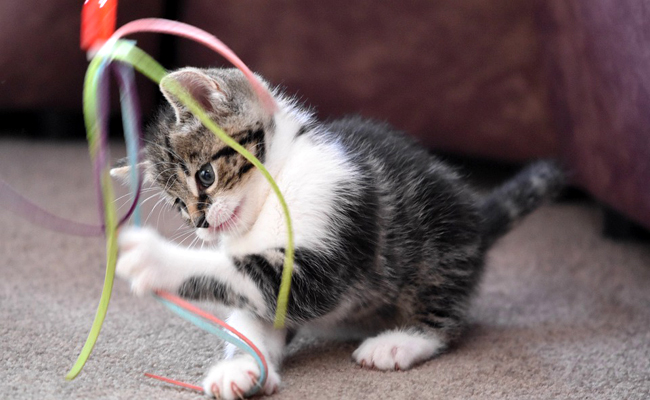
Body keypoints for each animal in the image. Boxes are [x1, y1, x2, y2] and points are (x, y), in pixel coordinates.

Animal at [111, 67, 560, 398]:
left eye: (205, 175)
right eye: (177, 205)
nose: (200, 224)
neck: (274, 192)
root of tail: (478, 219)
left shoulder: (330, 235)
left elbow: (239, 272)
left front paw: (155, 258)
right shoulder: (268, 290)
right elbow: (252, 314)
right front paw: (240, 368)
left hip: (437, 250)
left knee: (444, 317)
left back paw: (400, 342)